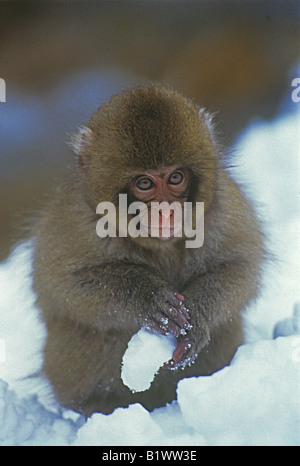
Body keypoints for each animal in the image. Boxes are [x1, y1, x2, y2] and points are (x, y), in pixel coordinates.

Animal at [32, 84, 264, 416]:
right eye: (144, 183)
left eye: (175, 177)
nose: (166, 211)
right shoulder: (77, 219)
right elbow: (64, 285)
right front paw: (149, 298)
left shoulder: (224, 208)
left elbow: (242, 267)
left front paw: (198, 314)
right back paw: (100, 406)